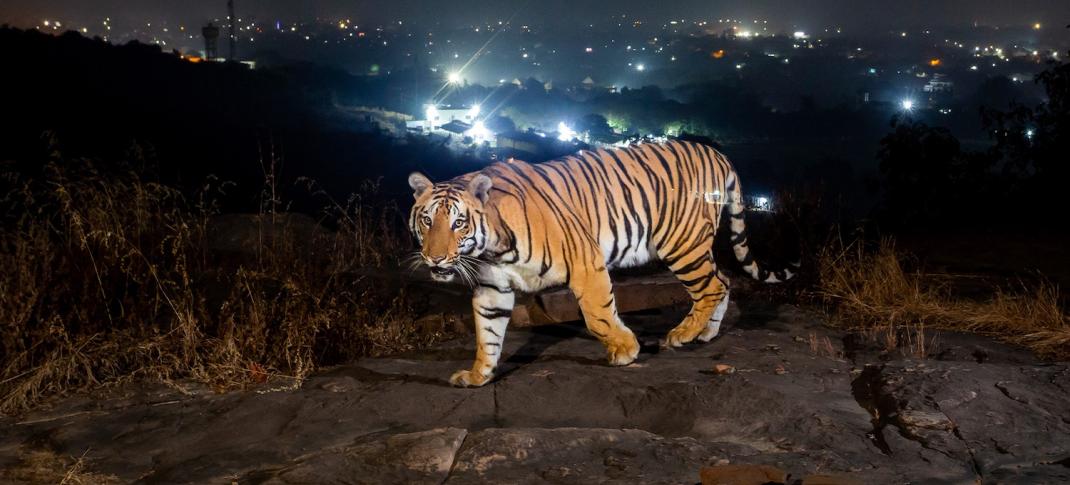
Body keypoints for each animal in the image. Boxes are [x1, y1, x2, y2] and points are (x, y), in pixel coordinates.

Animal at [408, 139, 796, 385]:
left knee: (712, 287)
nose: (435, 257)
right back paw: (705, 334)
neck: (492, 247)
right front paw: (477, 377)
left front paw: (625, 350)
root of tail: (716, 152)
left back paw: (682, 334)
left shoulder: (586, 262)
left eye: (459, 223)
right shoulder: (492, 287)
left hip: (682, 244)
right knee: (724, 282)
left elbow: (598, 316)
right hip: (697, 246)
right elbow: (486, 335)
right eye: (427, 221)